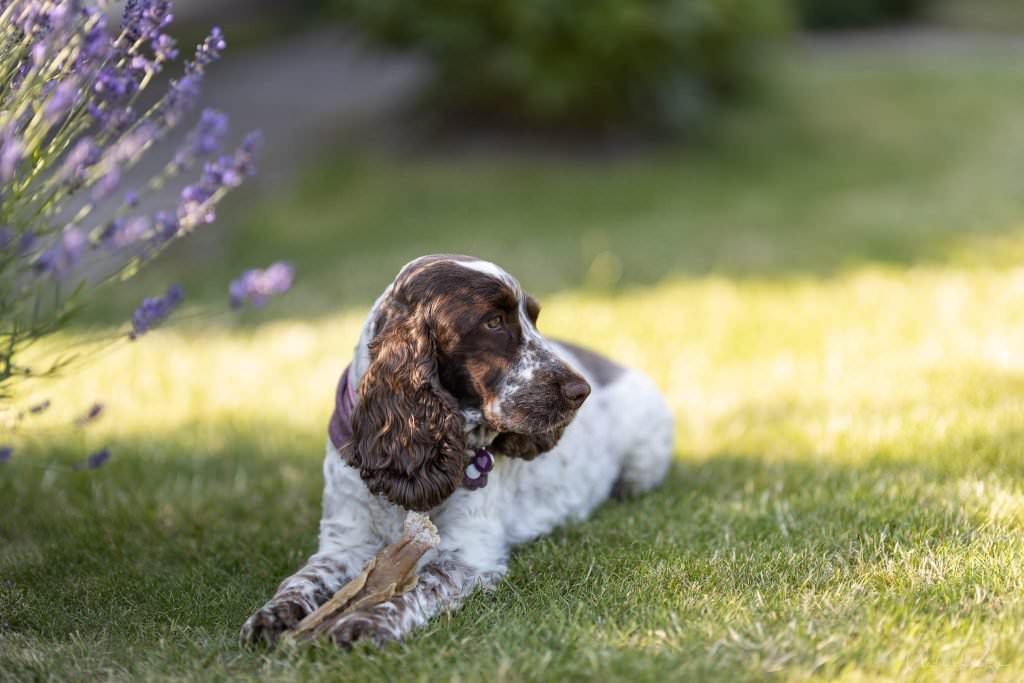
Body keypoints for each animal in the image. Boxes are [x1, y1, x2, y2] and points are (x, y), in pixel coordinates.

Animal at [237, 253, 671, 651]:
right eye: (493, 322)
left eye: (533, 318)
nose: (581, 391)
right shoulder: (343, 543)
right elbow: (300, 580)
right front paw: (271, 616)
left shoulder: (467, 556)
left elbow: (418, 588)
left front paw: (365, 622)